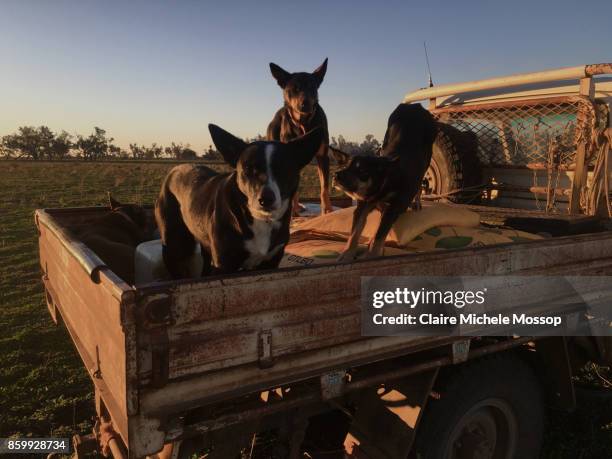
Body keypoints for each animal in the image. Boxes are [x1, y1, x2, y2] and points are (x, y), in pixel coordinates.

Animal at [155, 124, 322, 278]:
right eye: (248, 169)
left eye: (284, 169)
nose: (265, 199)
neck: (261, 219)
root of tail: (174, 170)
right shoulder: (223, 265)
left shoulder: (271, 262)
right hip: (173, 245)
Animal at [266, 57, 332, 216]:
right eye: (294, 89)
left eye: (312, 88)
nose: (305, 104)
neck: (304, 123)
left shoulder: (323, 156)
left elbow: (324, 187)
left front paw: (327, 210)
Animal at [332, 104, 438, 262]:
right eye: (344, 166)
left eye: (362, 170)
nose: (336, 175)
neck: (383, 185)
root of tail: (416, 106)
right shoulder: (363, 206)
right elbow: (355, 232)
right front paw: (347, 254)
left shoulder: (393, 208)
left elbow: (380, 232)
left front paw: (372, 255)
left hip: (426, 158)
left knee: (420, 184)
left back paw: (417, 203)